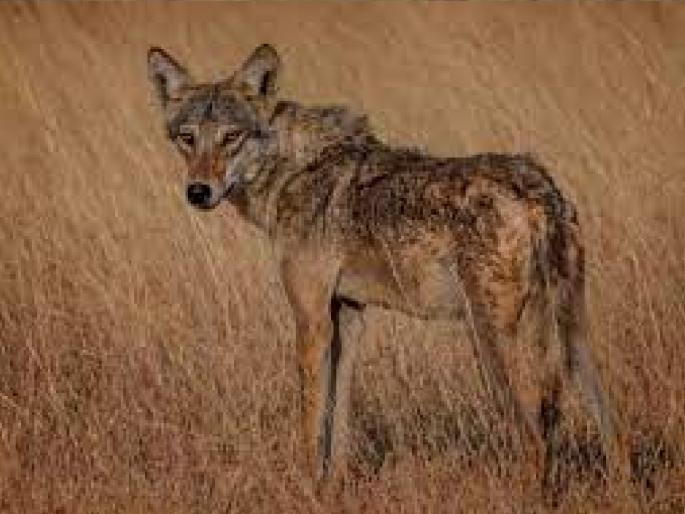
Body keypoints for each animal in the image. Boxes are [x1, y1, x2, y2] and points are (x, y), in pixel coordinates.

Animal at [147, 43, 621, 488]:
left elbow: (311, 421)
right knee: (612, 432)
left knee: (536, 441)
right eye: (188, 138)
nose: (198, 191)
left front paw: (307, 484)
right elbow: (338, 420)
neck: (290, 170)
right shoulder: (349, 315)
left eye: (231, 138)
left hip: (490, 344)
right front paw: (334, 486)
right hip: (574, 340)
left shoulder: (311, 319)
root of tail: (537, 188)